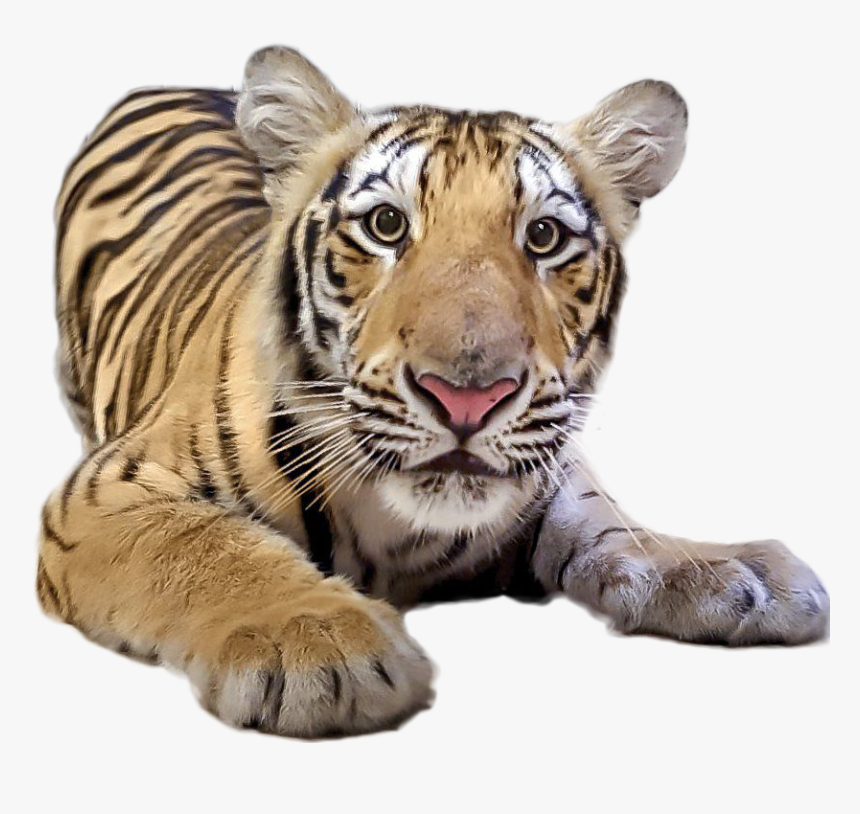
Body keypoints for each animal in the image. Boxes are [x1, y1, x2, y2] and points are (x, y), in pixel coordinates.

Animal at [40, 46, 829, 738]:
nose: (467, 398)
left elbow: (606, 521)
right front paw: (315, 641)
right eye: (386, 224)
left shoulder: (550, 461)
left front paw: (729, 569)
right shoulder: (104, 491)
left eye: (545, 237)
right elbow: (206, 543)